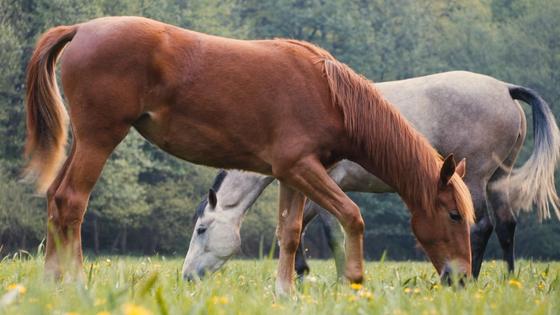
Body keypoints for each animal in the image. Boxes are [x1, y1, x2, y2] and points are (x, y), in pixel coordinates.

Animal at [25, 16, 472, 294]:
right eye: (453, 215)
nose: (462, 279)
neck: (329, 93)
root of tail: (81, 28)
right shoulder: (301, 168)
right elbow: (351, 215)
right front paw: (355, 281)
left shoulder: (293, 174)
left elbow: (290, 233)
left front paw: (285, 292)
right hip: (99, 139)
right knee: (72, 202)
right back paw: (76, 284)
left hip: (83, 142)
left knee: (55, 200)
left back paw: (50, 284)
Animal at [182, 71, 556, 278]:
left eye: (201, 229)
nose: (187, 278)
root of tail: (504, 88)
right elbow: (306, 229)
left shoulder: (325, 182)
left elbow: (318, 230)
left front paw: (319, 277)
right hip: (497, 180)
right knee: (506, 226)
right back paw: (508, 279)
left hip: (473, 178)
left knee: (480, 227)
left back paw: (469, 277)